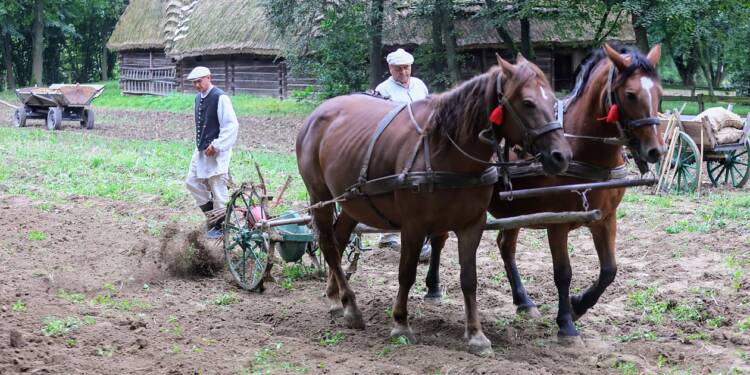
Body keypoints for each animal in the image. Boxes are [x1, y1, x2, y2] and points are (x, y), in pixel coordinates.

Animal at [296, 55, 572, 356]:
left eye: (552, 100)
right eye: (528, 102)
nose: (562, 155)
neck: (447, 151)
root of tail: (318, 113)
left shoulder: (471, 225)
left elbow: (469, 278)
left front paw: (476, 334)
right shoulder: (413, 226)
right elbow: (406, 273)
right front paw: (400, 323)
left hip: (351, 202)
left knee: (338, 239)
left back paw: (336, 299)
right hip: (320, 197)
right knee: (328, 245)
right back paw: (351, 305)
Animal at [426, 44, 668, 344]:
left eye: (659, 93)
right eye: (631, 94)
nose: (656, 150)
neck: (584, 150)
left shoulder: (605, 219)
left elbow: (609, 270)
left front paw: (578, 305)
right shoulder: (557, 223)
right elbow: (563, 273)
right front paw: (566, 323)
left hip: (514, 210)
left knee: (505, 247)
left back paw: (523, 300)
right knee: (440, 239)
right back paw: (433, 288)